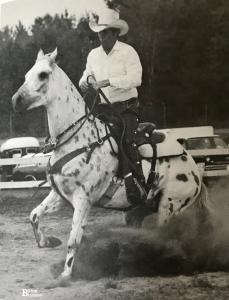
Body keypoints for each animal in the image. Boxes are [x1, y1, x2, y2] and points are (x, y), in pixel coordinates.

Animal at [11, 48, 209, 282]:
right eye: (26, 75)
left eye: (43, 74)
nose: (16, 100)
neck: (78, 139)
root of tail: (194, 169)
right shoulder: (59, 195)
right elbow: (34, 215)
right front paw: (48, 241)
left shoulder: (83, 200)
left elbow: (74, 239)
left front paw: (66, 275)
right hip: (139, 209)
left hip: (170, 207)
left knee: (163, 236)